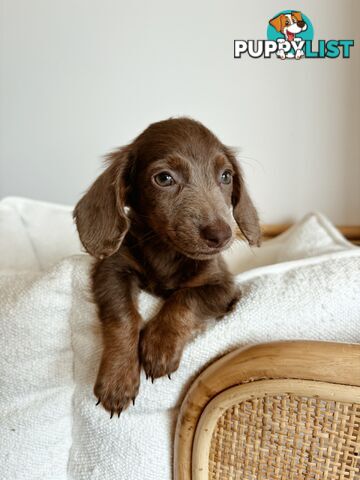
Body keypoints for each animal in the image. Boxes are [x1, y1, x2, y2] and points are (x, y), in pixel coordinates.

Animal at [73, 117, 260, 416]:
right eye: (164, 178)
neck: (167, 252)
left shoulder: (223, 286)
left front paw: (159, 345)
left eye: (226, 176)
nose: (222, 235)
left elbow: (185, 299)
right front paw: (117, 378)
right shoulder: (111, 270)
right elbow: (123, 316)